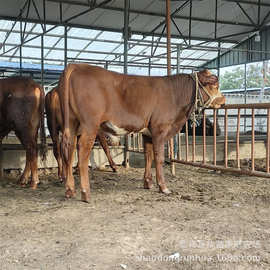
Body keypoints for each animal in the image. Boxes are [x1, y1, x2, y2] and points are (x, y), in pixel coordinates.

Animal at [57, 64, 226, 201]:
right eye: (215, 84)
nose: (223, 100)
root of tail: (77, 65)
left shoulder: (148, 133)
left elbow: (148, 157)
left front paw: (148, 183)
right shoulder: (160, 129)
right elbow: (158, 159)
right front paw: (163, 187)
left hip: (71, 123)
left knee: (69, 149)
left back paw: (69, 190)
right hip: (90, 125)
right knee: (82, 150)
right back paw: (85, 193)